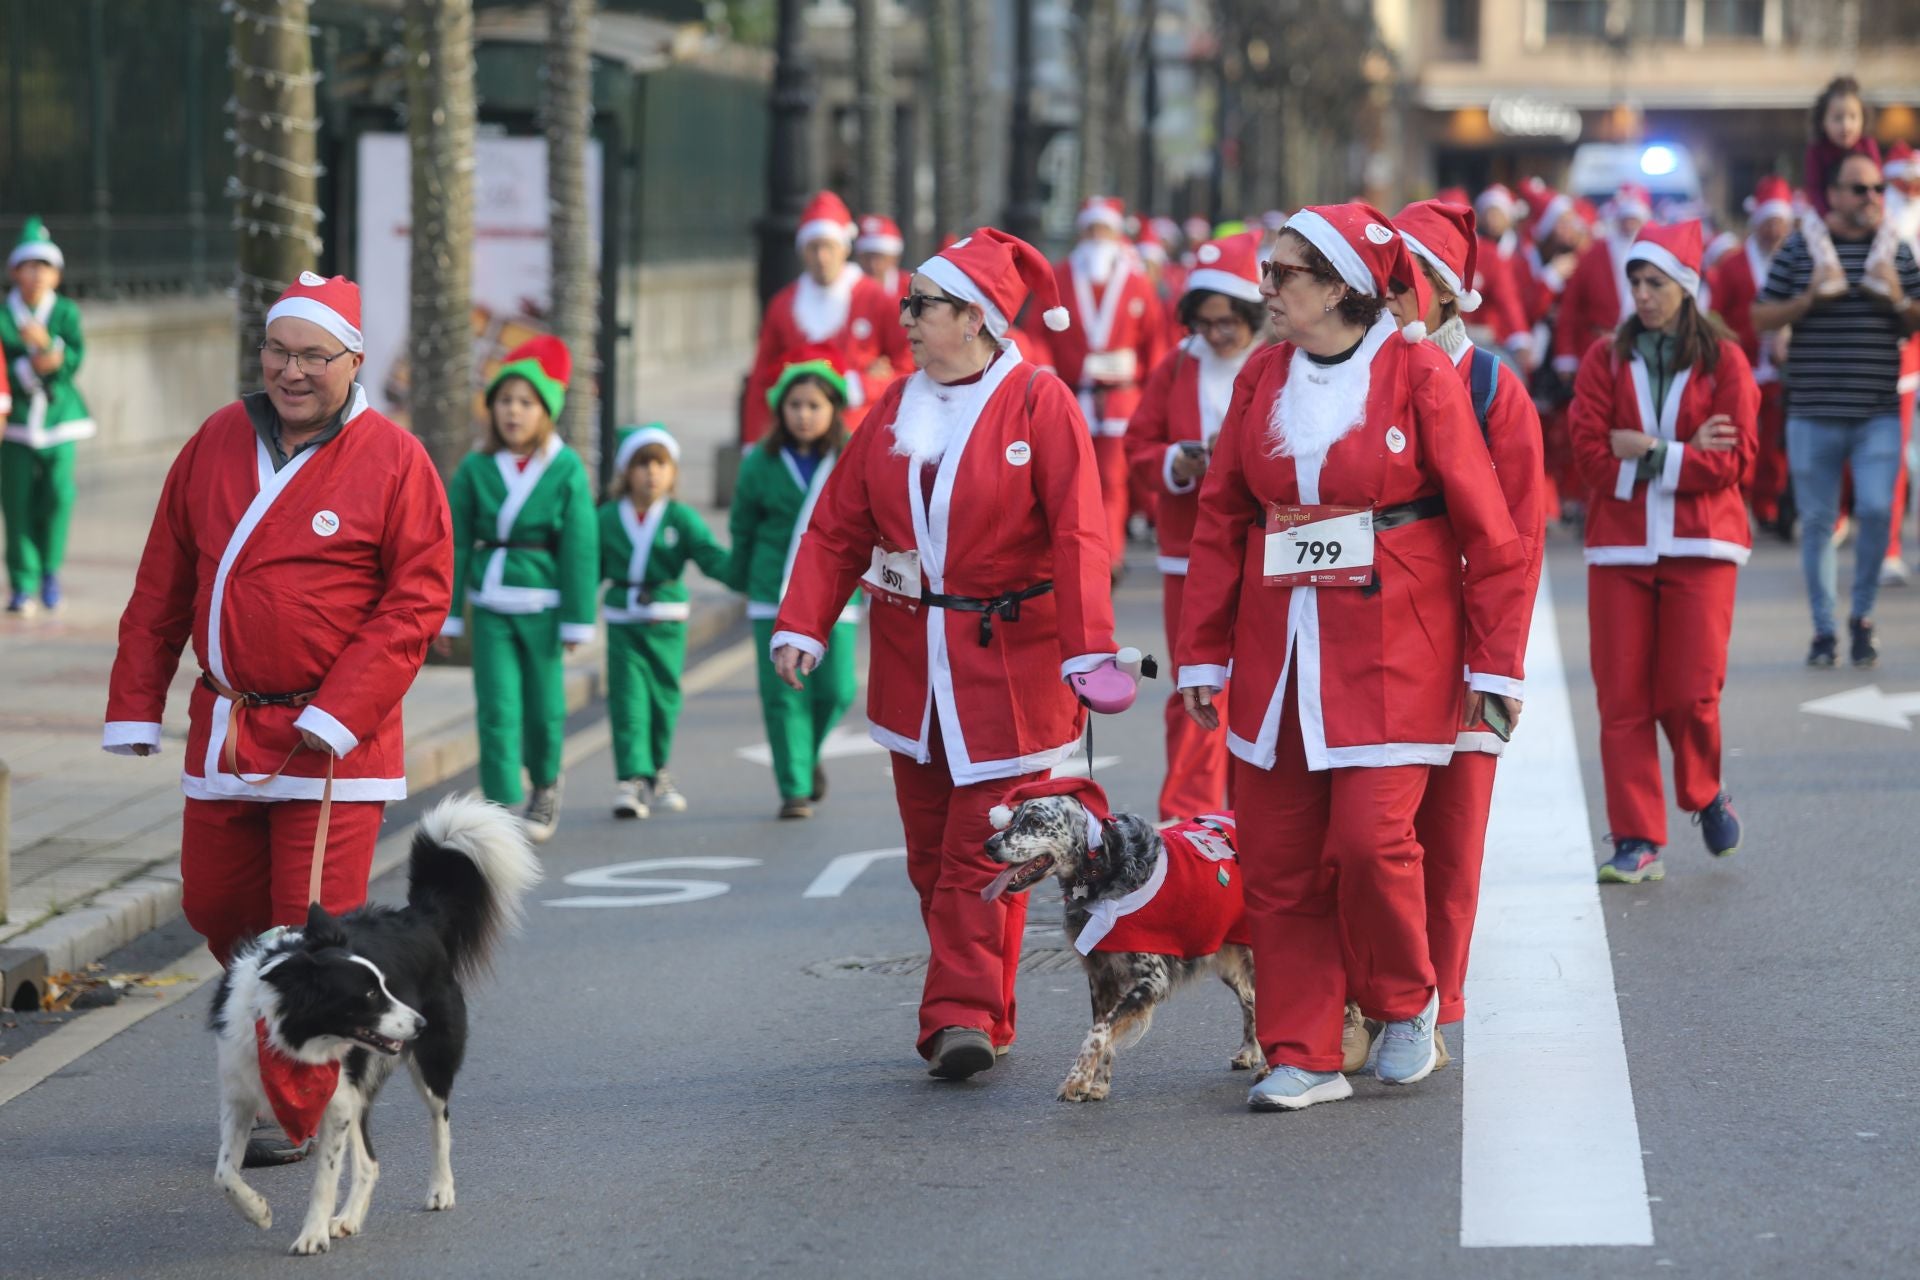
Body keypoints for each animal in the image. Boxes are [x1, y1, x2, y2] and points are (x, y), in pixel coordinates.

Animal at [209, 794, 541, 1258]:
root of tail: (418, 917)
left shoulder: (334, 1101)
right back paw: (348, 1219)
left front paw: (311, 1234)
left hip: (429, 1065)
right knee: (369, 1161)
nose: (420, 1022)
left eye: (385, 985)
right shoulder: (241, 1094)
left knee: (440, 1123)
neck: (286, 1032)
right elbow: (224, 1172)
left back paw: (440, 1190)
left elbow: (324, 1178)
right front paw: (257, 1210)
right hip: (359, 1087)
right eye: (368, 995)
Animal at [990, 790, 1259, 1105]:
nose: (988, 845)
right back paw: (1250, 1051)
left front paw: (1076, 1080)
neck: (1106, 869)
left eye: (1035, 821)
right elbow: (1103, 1030)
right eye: (1013, 818)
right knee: (1250, 999)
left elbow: (1098, 1032)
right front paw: (1097, 1084)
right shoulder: (1102, 978)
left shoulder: (1151, 980)